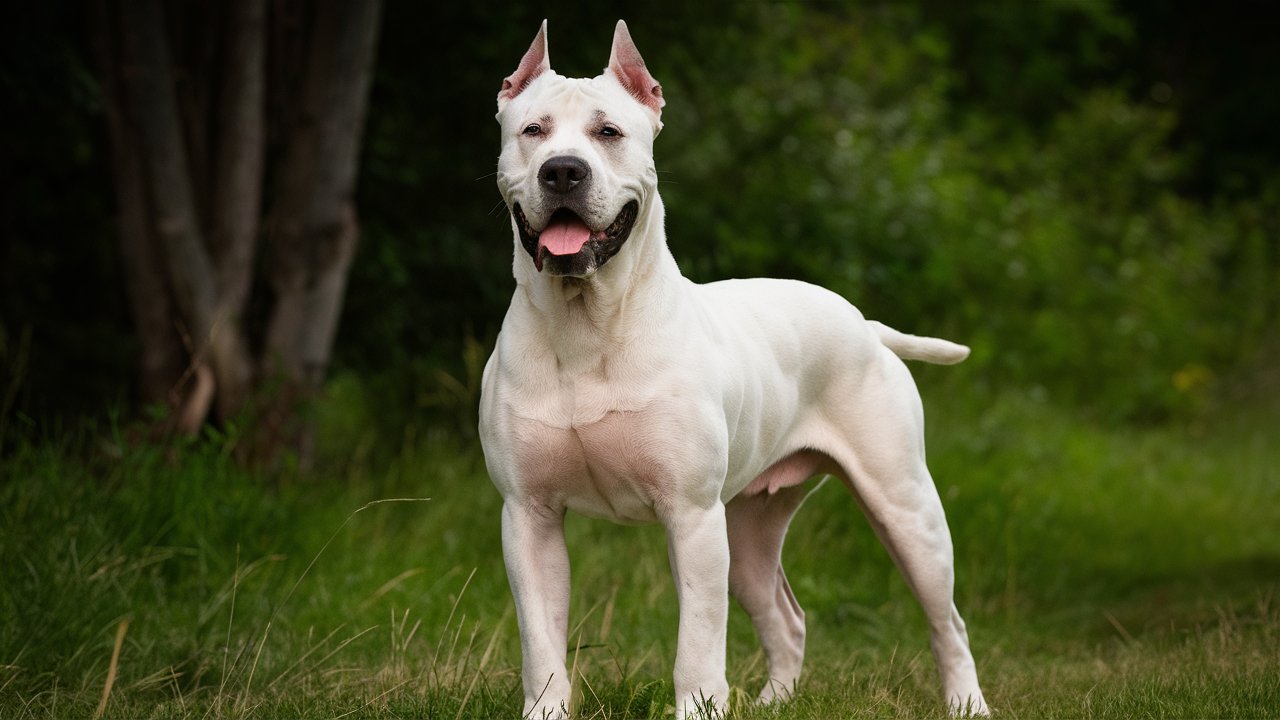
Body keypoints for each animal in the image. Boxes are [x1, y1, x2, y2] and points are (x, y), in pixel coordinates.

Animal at [481, 19, 988, 712]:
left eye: (608, 132)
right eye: (533, 130)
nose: (562, 170)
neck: (587, 327)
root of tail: (865, 325)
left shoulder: (693, 517)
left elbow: (697, 645)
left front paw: (700, 708)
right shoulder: (528, 518)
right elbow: (541, 644)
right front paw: (546, 710)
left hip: (906, 509)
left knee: (948, 621)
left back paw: (967, 703)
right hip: (750, 530)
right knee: (787, 618)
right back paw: (775, 702)